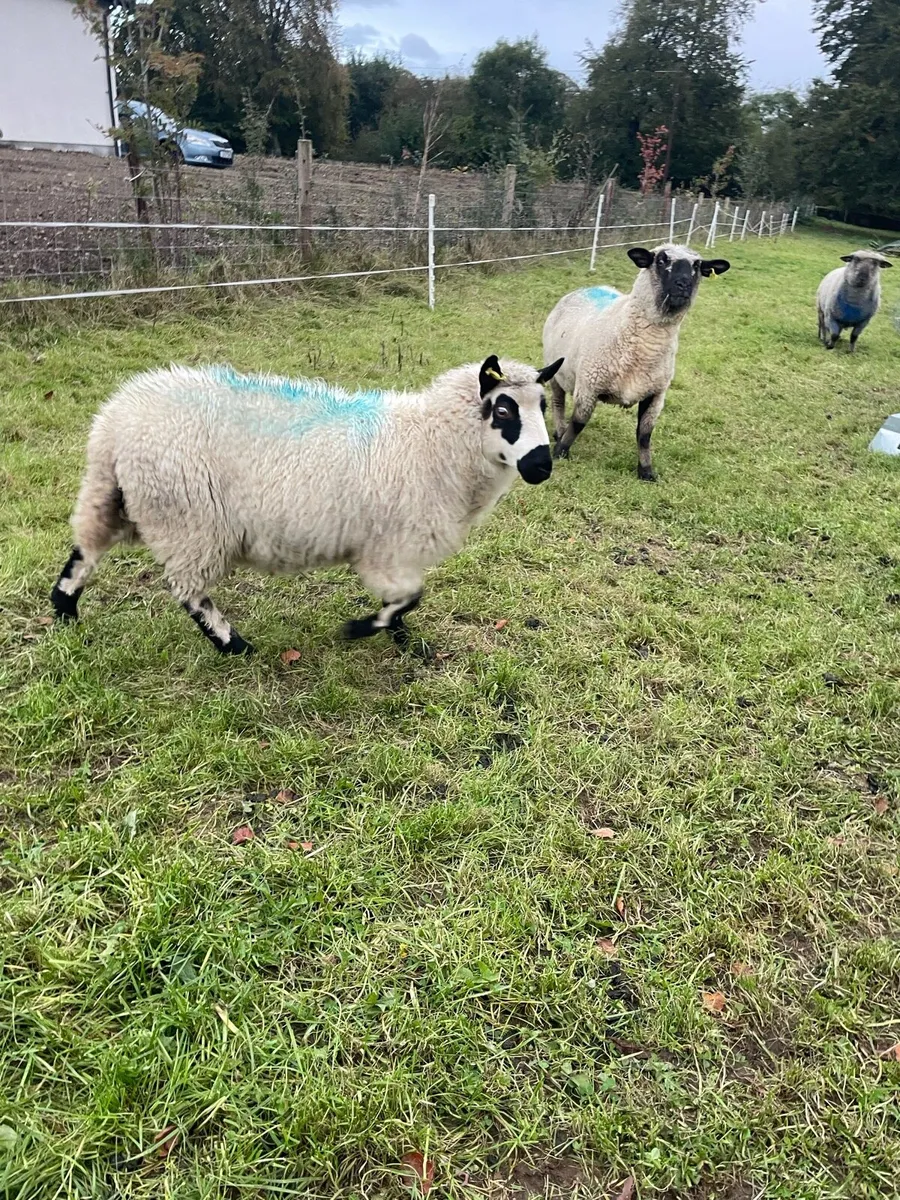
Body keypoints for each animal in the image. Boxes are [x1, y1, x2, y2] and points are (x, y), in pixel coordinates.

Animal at [50, 354, 563, 657]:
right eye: (503, 409)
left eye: (543, 405)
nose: (542, 465)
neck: (429, 441)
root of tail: (115, 424)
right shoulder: (387, 547)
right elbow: (408, 597)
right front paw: (364, 629)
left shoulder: (393, 549)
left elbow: (406, 600)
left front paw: (401, 638)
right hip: (188, 520)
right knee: (188, 591)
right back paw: (233, 644)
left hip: (116, 497)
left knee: (84, 551)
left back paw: (64, 610)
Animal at [542, 243, 730, 480]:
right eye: (661, 260)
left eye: (697, 266)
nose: (684, 285)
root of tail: (586, 287)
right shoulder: (588, 386)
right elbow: (578, 423)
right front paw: (560, 452)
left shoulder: (656, 394)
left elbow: (644, 434)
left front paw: (646, 471)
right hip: (555, 371)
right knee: (558, 403)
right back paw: (559, 431)